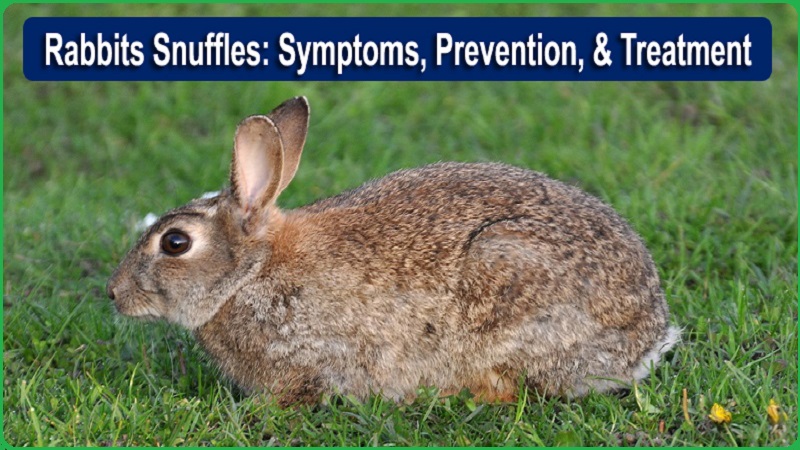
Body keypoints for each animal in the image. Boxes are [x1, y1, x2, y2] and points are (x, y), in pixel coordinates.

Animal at [107, 96, 679, 406]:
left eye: (175, 242)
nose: (113, 293)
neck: (250, 272)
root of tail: (645, 338)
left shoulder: (309, 355)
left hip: (506, 286)